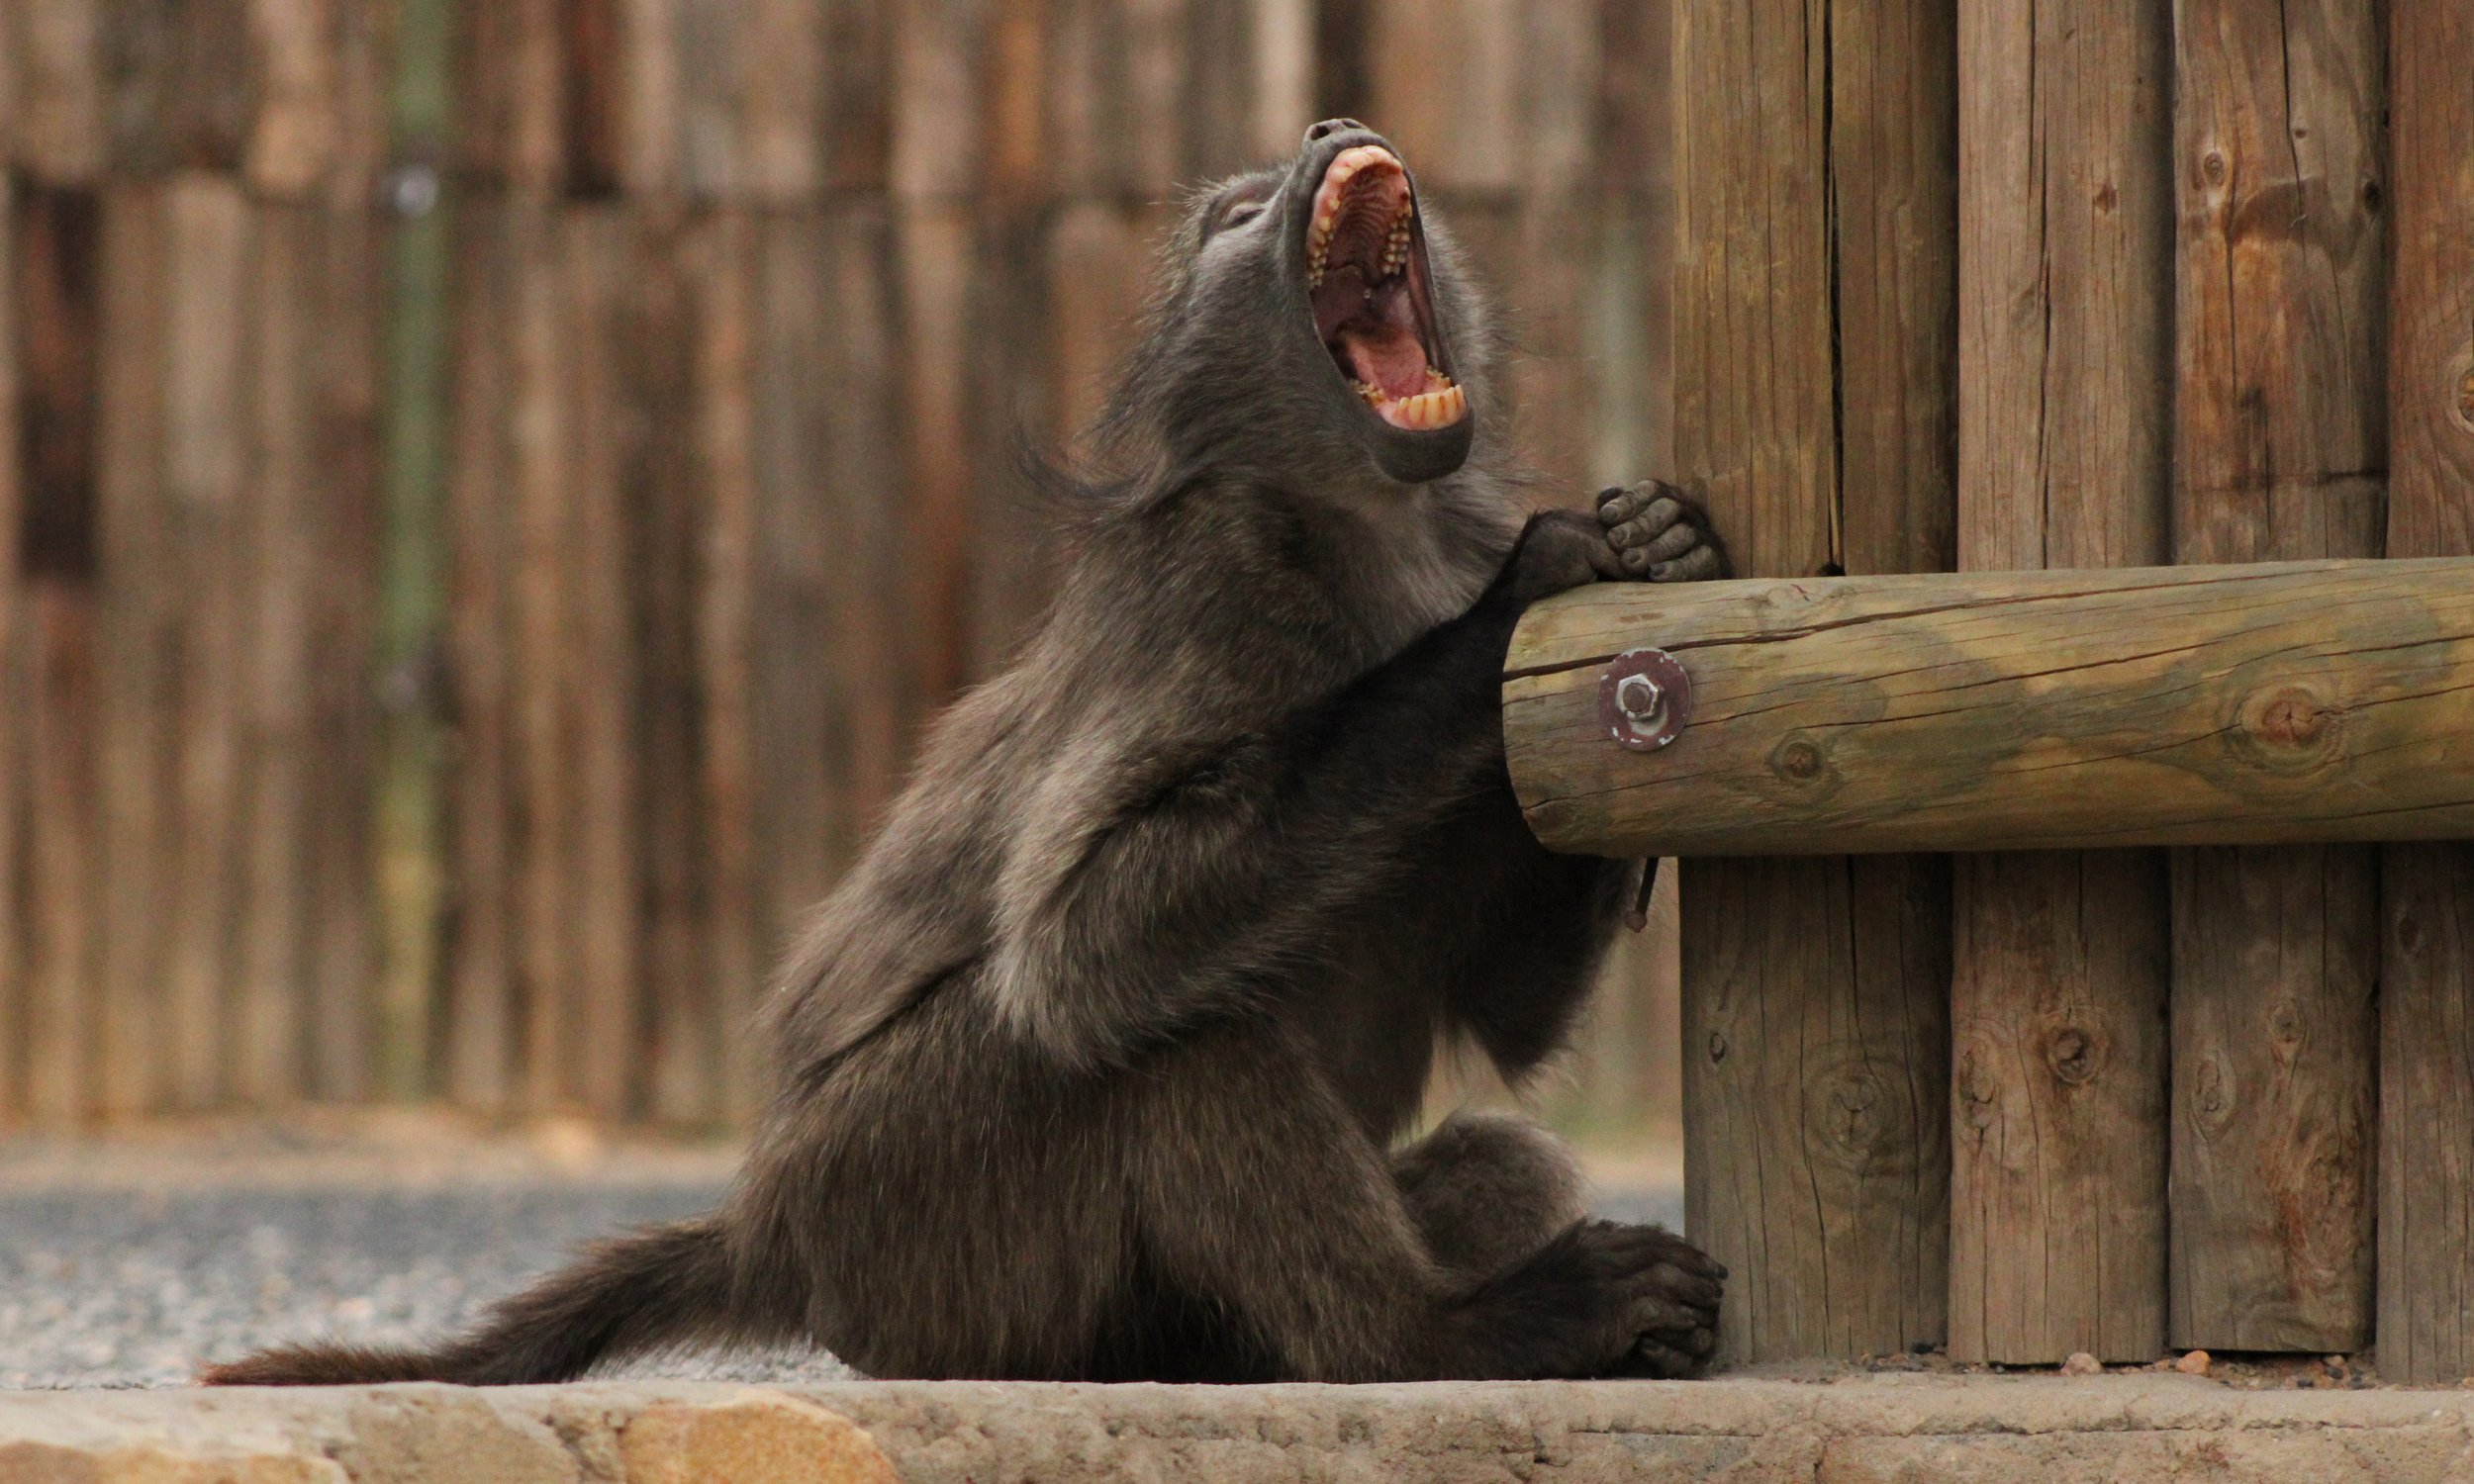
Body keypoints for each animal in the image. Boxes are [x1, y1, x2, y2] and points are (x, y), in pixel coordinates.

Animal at [204, 119, 1728, 1388]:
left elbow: (1504, 1020)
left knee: (1505, 1161)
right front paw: (1516, 605)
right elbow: (1080, 944)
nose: (1333, 128)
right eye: (1238, 218)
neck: (1370, 524)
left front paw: (1656, 551)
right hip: (906, 1213)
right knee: (1172, 1032)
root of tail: (767, 1233)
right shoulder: (1211, 594)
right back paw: (1448, 1337)